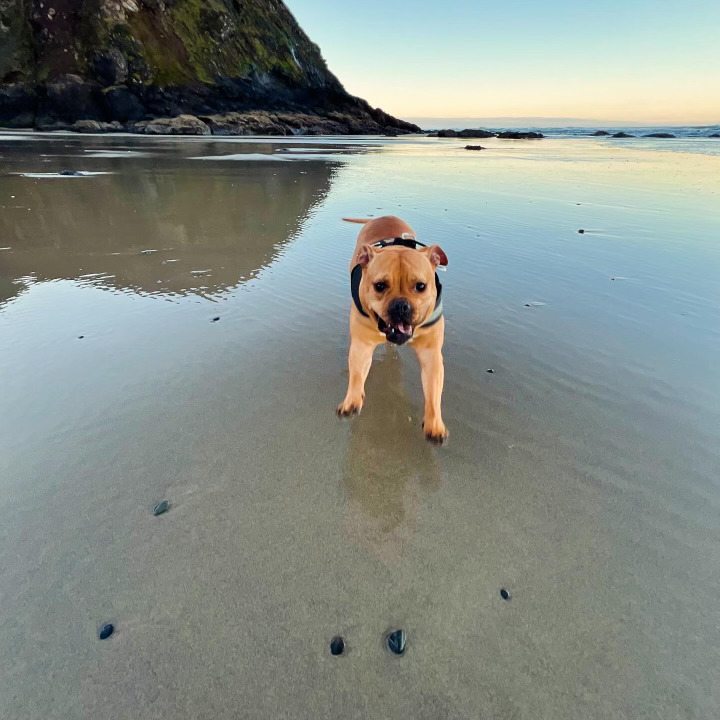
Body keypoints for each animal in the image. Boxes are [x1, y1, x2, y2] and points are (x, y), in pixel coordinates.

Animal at [338, 214, 450, 442]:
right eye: (379, 286)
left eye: (421, 286)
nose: (400, 305)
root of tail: (382, 217)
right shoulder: (361, 346)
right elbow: (357, 374)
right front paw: (352, 399)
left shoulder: (431, 355)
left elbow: (434, 390)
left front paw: (435, 423)